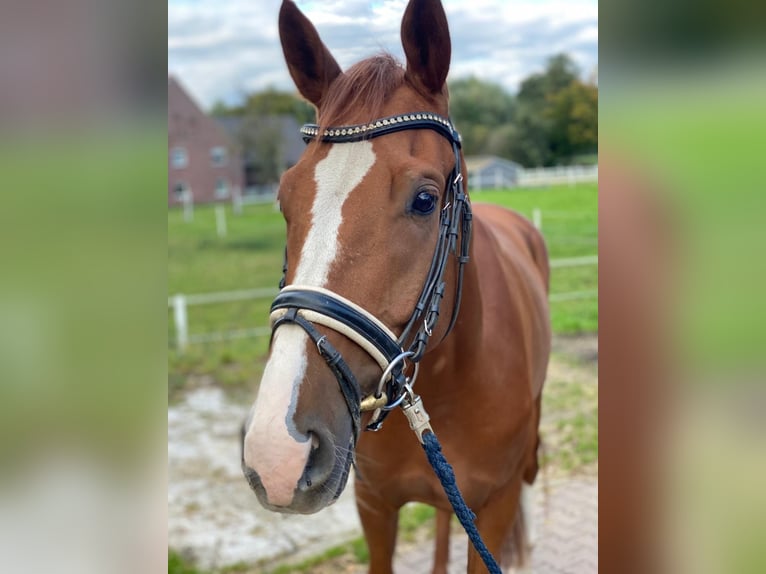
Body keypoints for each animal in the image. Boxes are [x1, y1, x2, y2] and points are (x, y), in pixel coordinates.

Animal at [243, 2, 548, 572]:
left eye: (425, 200)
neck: (448, 381)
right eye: (283, 198)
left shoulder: (494, 512)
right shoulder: (374, 505)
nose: (278, 451)